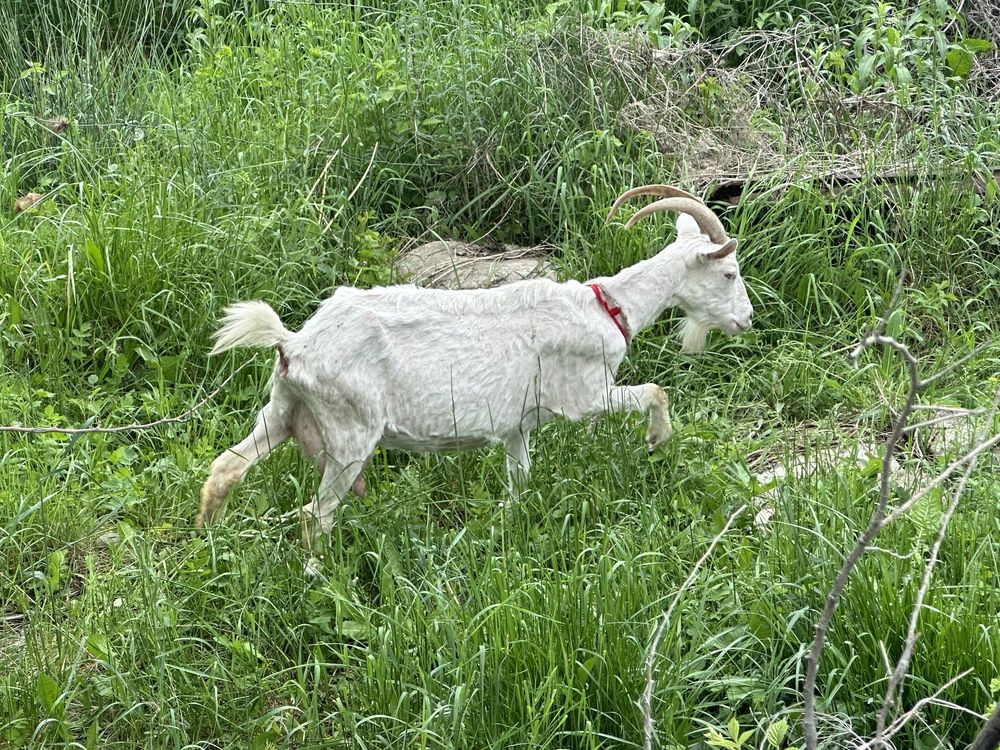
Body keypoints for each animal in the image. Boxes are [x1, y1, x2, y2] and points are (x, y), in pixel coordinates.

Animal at [199, 185, 752, 556]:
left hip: (282, 409)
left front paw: (507, 526)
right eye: (729, 273)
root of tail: (294, 343)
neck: (608, 308)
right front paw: (658, 441)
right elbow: (656, 391)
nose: (745, 319)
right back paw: (320, 578)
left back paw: (210, 542)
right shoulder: (585, 396)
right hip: (350, 431)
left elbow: (520, 481)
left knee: (226, 468)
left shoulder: (516, 426)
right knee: (315, 516)